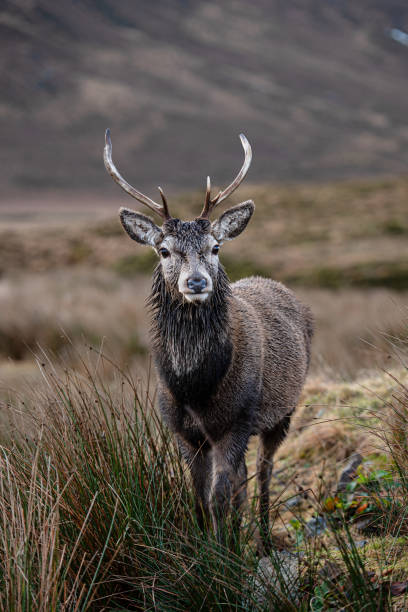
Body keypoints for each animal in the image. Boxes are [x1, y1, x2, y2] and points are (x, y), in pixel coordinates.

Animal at [103, 129, 314, 548]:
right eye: (164, 250)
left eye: (215, 247)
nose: (197, 282)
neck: (195, 386)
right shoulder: (183, 433)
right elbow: (199, 499)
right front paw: (206, 549)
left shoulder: (235, 422)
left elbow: (219, 497)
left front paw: (221, 555)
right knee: (245, 480)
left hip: (282, 411)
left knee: (264, 471)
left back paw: (263, 539)